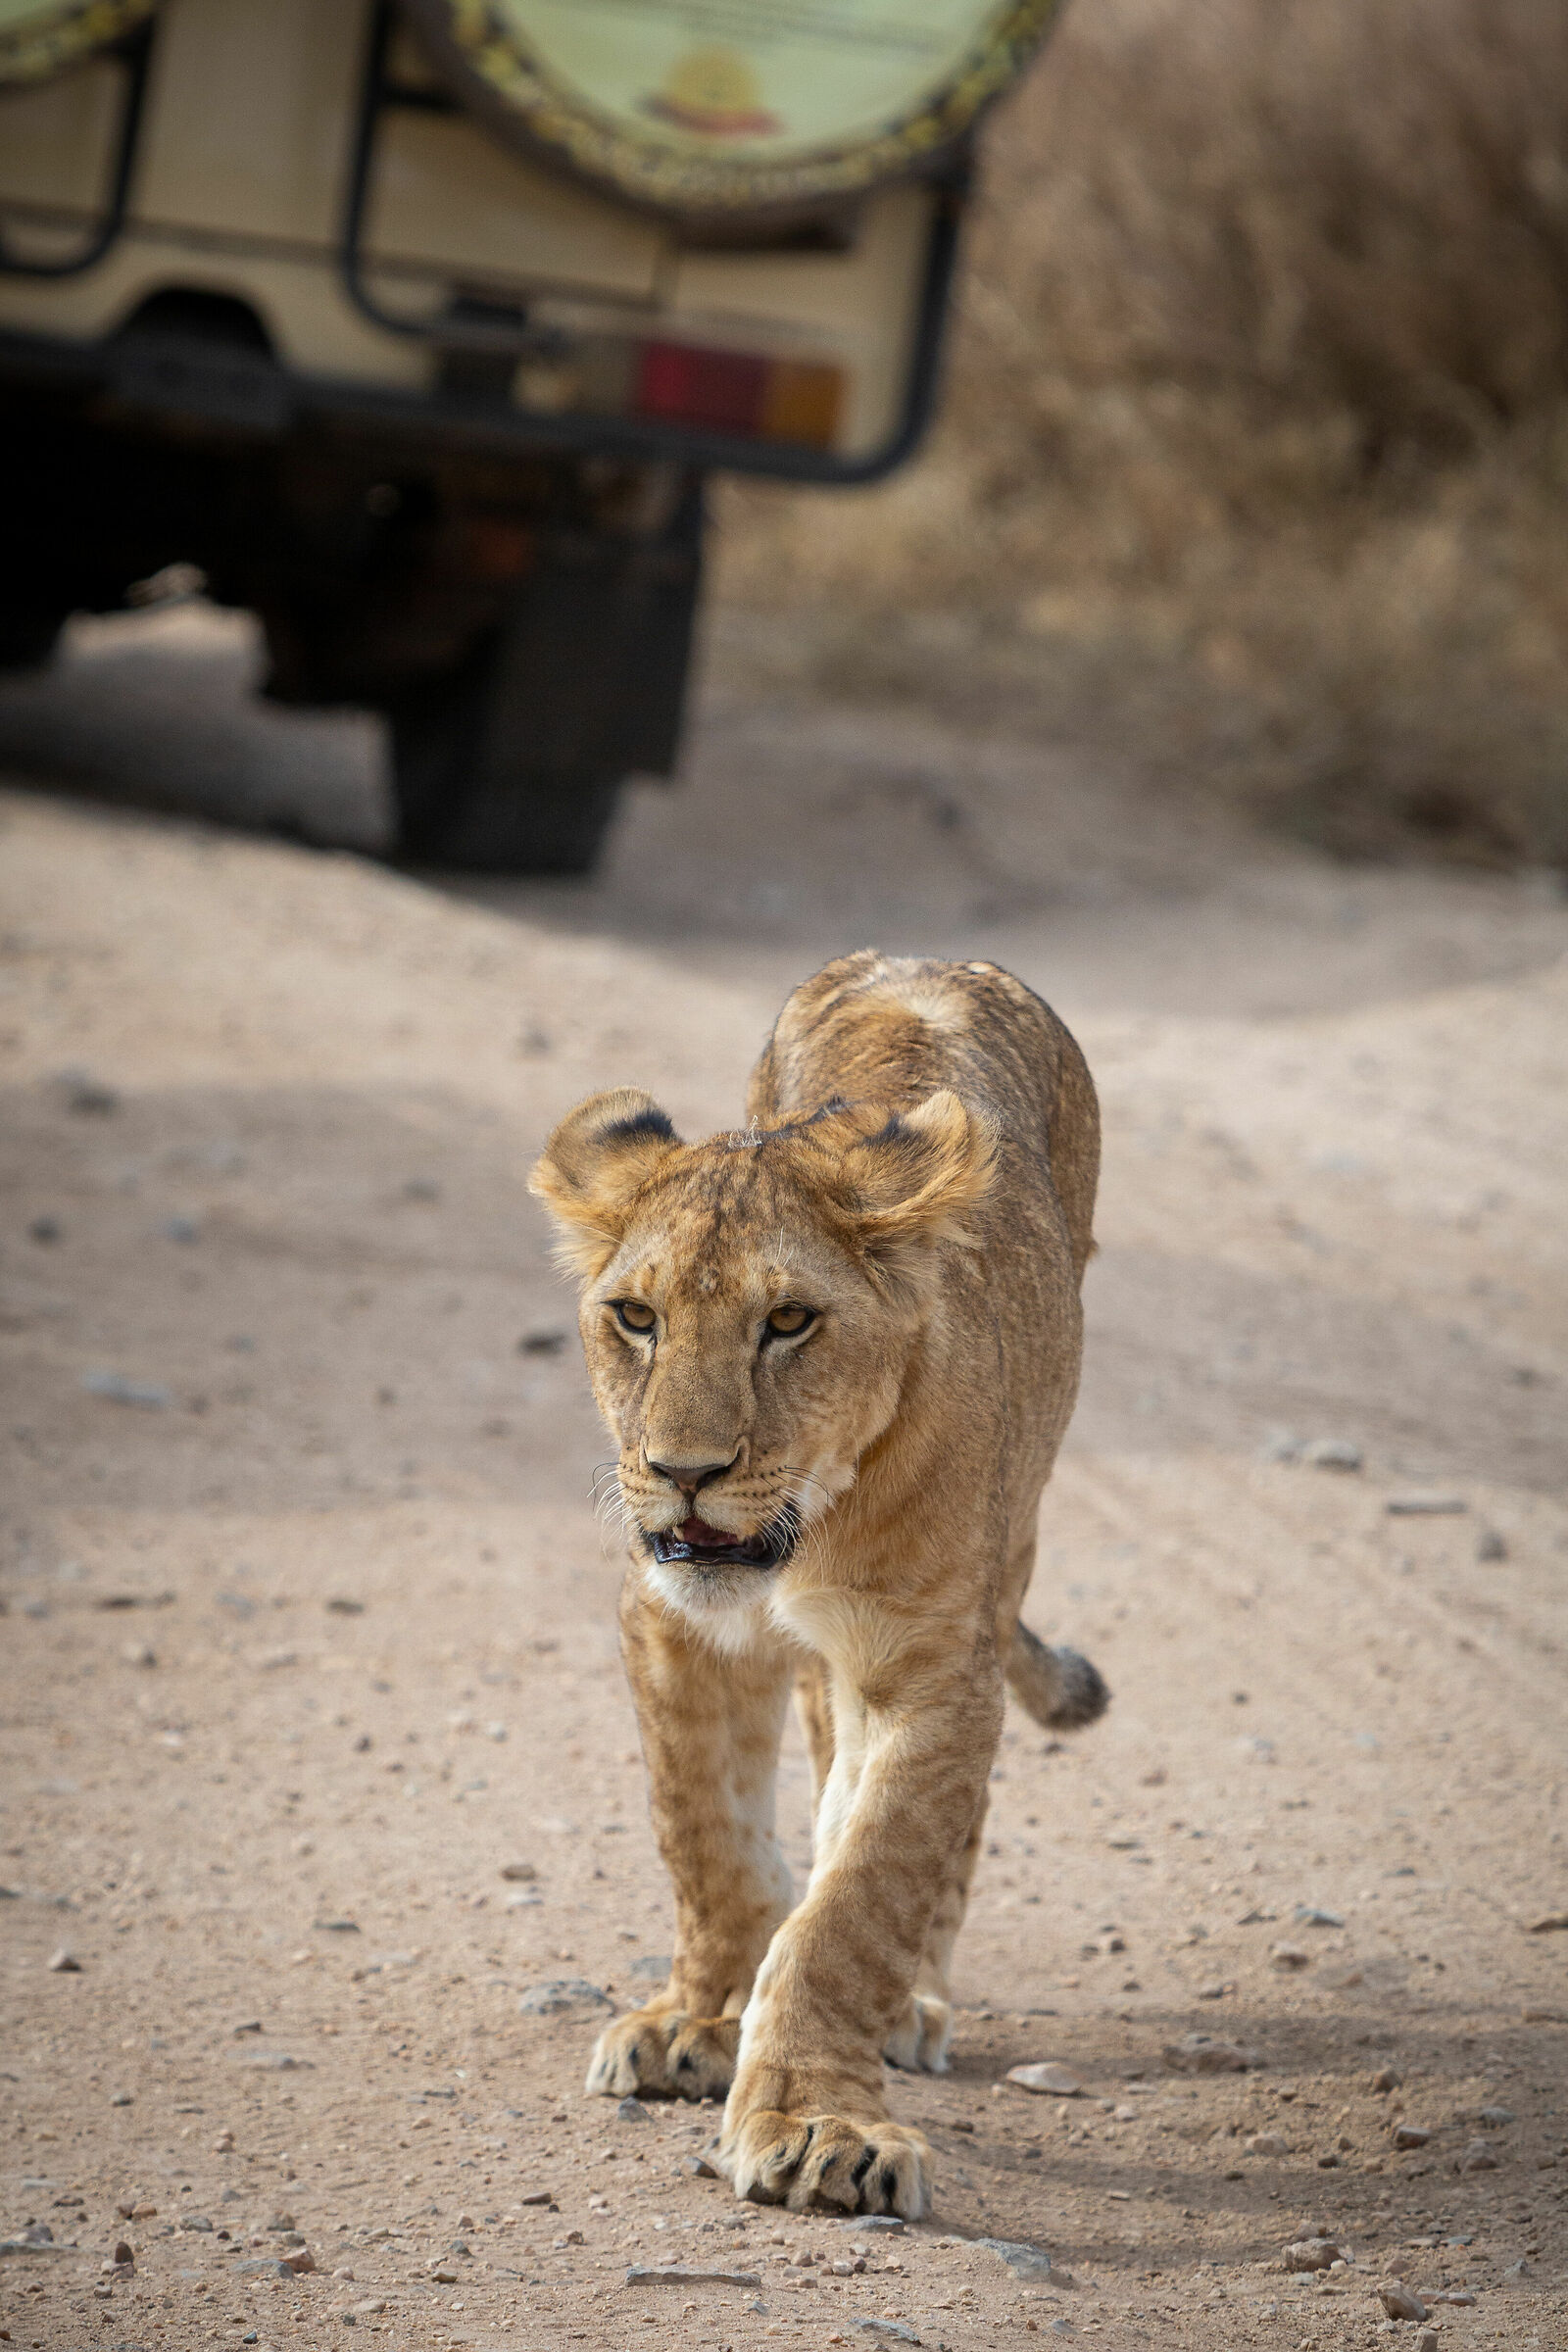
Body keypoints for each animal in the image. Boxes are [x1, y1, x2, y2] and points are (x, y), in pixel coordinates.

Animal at [529, 951, 1107, 2219]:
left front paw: (810, 2121)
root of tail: (927, 961)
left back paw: (913, 2006)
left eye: (788, 1321)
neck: (812, 1527)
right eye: (634, 1316)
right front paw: (697, 2021)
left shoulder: (928, 1668)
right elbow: (706, 1837)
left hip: (1014, 1536)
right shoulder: (671, 1621)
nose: (684, 1473)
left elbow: (856, 1902)